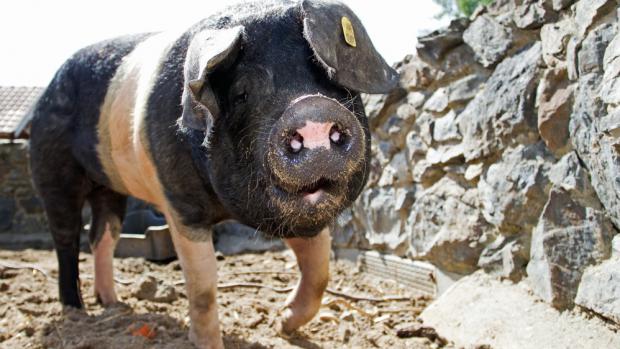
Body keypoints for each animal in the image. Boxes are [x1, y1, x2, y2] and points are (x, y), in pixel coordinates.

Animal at [27, 0, 398, 346]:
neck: (225, 210)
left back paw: (113, 304)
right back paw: (76, 310)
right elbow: (203, 287)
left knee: (102, 236)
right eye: (242, 94)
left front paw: (282, 324)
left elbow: (319, 271)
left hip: (110, 188)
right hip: (52, 169)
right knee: (67, 239)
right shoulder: (180, 205)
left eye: (331, 81)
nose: (311, 108)